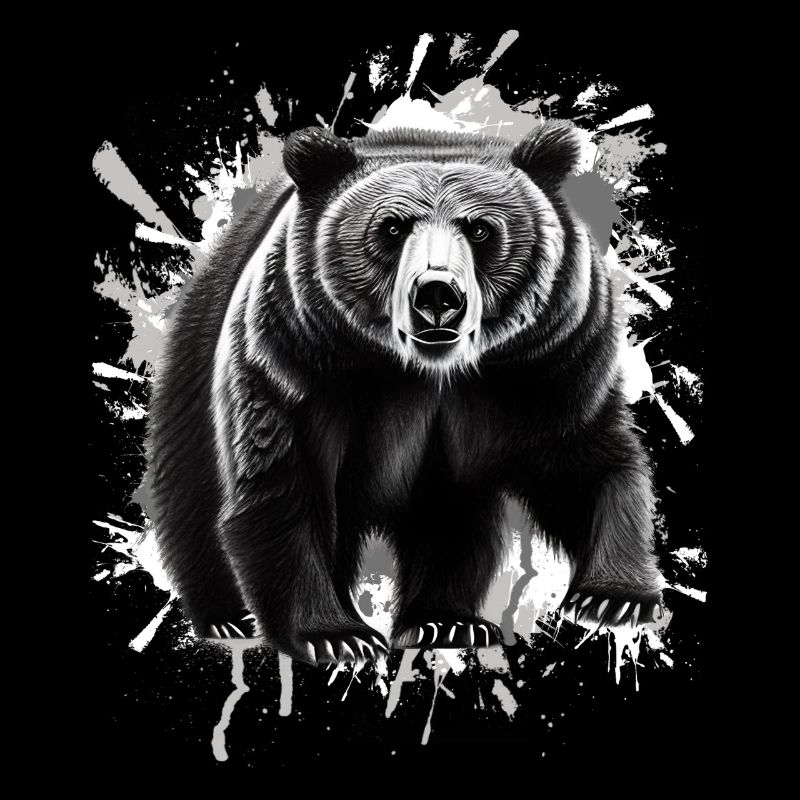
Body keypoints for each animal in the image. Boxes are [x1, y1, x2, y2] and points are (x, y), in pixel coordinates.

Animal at [146, 121, 666, 667]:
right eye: (392, 228)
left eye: (480, 229)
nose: (438, 294)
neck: (423, 373)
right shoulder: (294, 360)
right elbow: (283, 481)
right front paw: (336, 633)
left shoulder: (551, 362)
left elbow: (584, 461)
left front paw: (615, 596)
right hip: (194, 365)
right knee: (191, 494)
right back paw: (223, 615)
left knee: (453, 516)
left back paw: (445, 621)